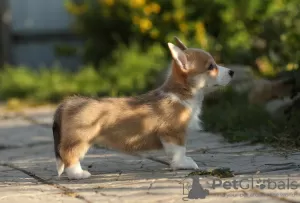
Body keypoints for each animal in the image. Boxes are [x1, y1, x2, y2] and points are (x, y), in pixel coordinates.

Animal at [51, 36, 234, 179]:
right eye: (211, 66)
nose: (232, 72)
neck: (181, 93)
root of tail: (67, 103)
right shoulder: (173, 133)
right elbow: (179, 151)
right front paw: (184, 164)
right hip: (80, 139)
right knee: (69, 155)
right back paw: (78, 174)